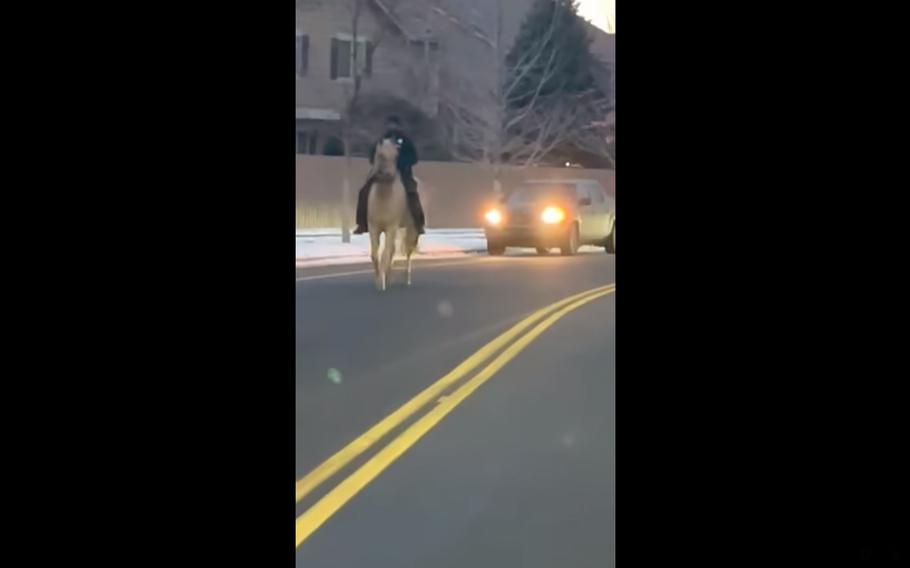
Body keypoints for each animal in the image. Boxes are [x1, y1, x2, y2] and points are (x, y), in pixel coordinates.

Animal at [366, 136, 420, 288]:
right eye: (380, 155)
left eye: (396, 156)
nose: (388, 175)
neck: (384, 196)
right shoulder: (374, 227)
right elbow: (375, 254)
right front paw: (379, 279)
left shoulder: (391, 227)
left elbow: (385, 253)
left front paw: (382, 282)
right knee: (394, 250)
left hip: (410, 229)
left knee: (407, 251)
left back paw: (407, 279)